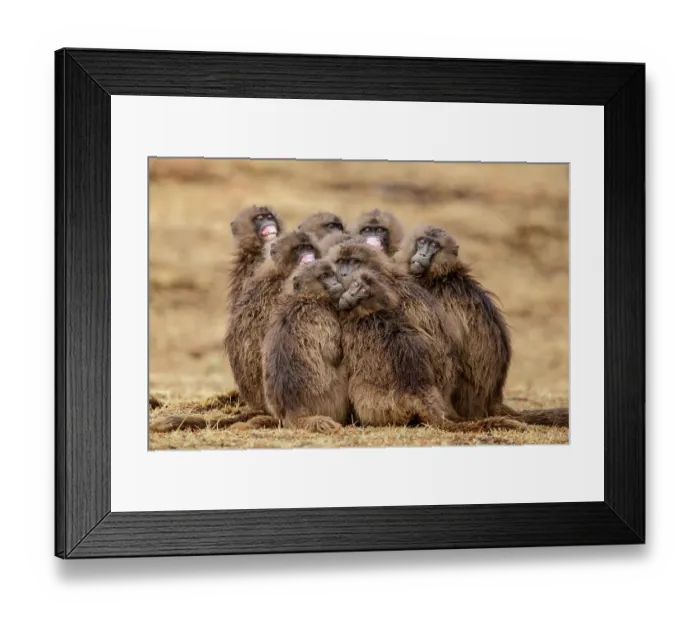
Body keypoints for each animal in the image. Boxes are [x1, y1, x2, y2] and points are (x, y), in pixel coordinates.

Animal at [261, 260, 350, 433]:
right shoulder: (322, 317)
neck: (305, 297)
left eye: (331, 274)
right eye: (323, 276)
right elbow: (335, 355)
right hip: (334, 397)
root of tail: (292, 409)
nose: (335, 283)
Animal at [338, 270, 524, 433]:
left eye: (361, 289)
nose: (349, 294)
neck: (372, 312)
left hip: (380, 405)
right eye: (356, 285)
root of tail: (417, 394)